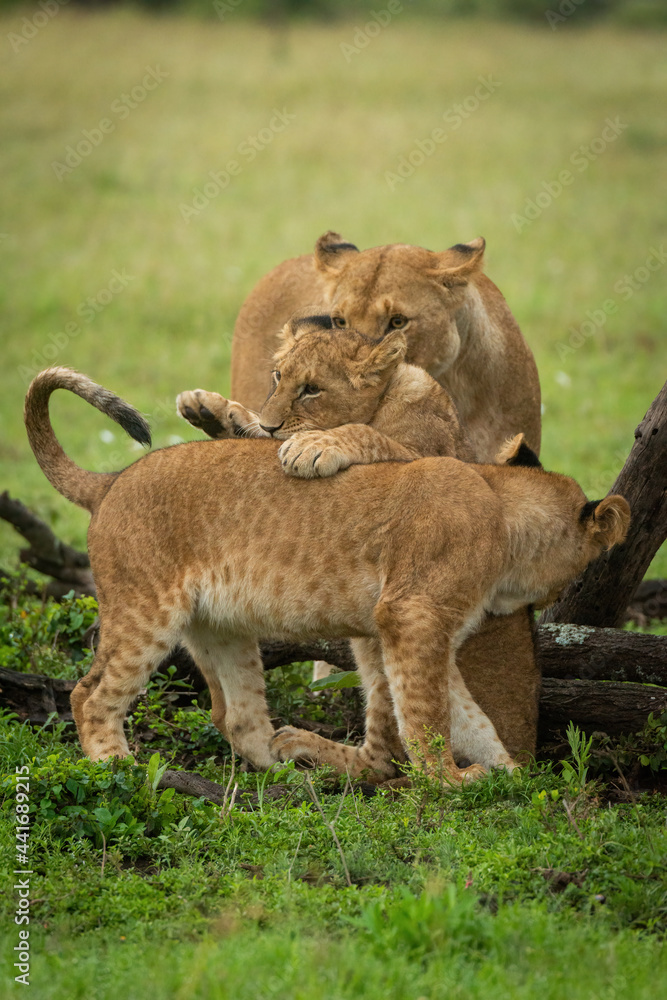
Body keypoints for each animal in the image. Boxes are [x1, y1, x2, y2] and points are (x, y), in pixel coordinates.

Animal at [24, 367, 629, 786]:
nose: (551, 599)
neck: (502, 507)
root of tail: (109, 482)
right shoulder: (412, 614)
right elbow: (427, 715)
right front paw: (450, 781)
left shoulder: (419, 632)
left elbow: (465, 714)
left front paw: (510, 775)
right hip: (145, 610)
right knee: (90, 695)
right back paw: (116, 769)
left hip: (221, 627)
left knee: (237, 715)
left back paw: (289, 769)